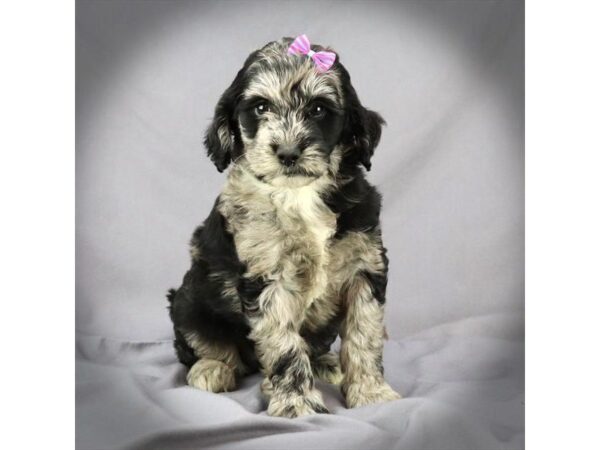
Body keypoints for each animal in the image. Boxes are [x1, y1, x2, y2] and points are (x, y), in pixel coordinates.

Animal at [169, 36, 400, 418]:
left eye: (319, 109)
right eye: (260, 108)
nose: (289, 152)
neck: (299, 194)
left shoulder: (365, 266)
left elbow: (364, 333)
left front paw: (371, 393)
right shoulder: (267, 276)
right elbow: (284, 345)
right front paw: (297, 403)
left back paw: (326, 364)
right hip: (188, 301)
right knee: (205, 345)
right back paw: (213, 369)